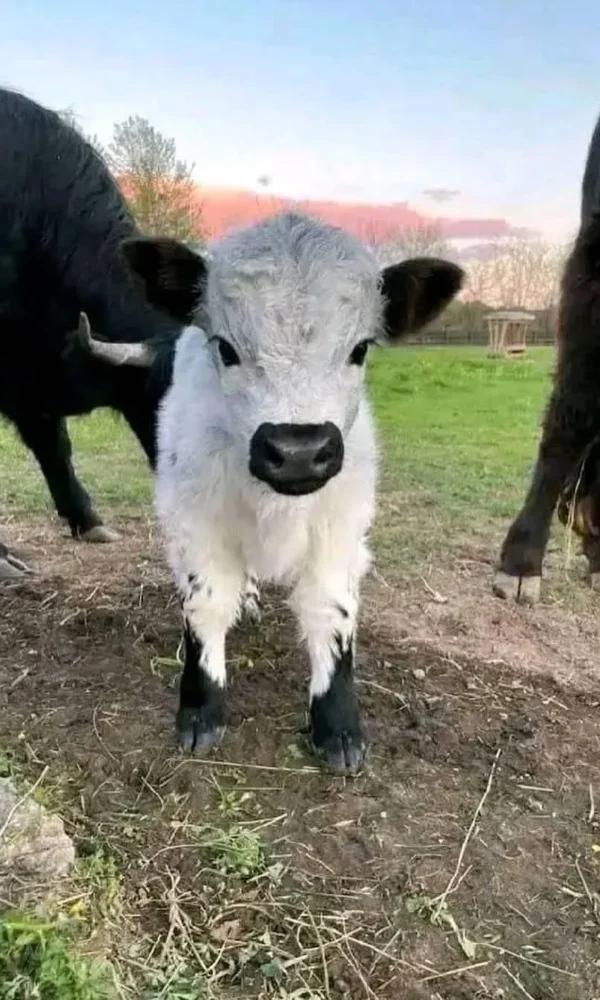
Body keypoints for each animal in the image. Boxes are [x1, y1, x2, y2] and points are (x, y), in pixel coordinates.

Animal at [81, 211, 464, 773]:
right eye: (225, 348)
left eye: (360, 349)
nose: (298, 450)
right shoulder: (195, 522)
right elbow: (206, 603)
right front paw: (201, 709)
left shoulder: (342, 528)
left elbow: (332, 609)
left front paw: (337, 724)